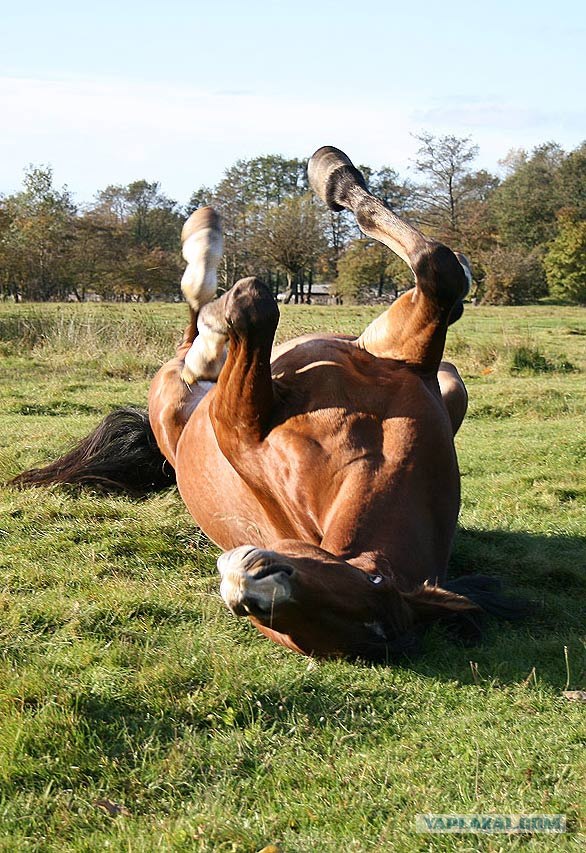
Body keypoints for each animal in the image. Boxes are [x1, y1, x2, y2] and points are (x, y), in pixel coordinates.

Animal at [12, 146, 524, 660]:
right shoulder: (408, 352)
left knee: (203, 330)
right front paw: (332, 173)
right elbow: (438, 268)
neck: (371, 454)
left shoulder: (237, 423)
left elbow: (255, 304)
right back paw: (204, 260)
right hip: (446, 381)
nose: (249, 583)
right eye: (372, 579)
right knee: (195, 312)